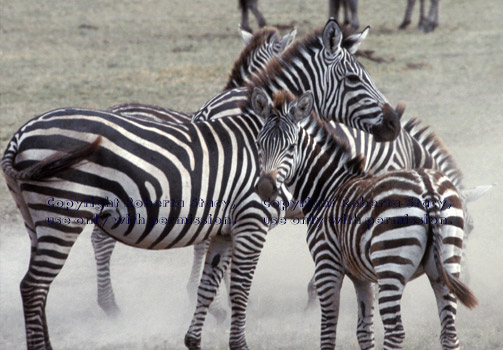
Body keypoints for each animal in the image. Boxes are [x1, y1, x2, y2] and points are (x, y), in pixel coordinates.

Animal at [250, 89, 478, 350]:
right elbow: (364, 331)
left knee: (395, 332)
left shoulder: (327, 262)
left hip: (391, 263)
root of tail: (428, 188)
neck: (327, 187)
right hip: (444, 266)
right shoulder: (361, 275)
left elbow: (328, 328)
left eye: (291, 146)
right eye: (259, 143)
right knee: (449, 333)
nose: (265, 188)